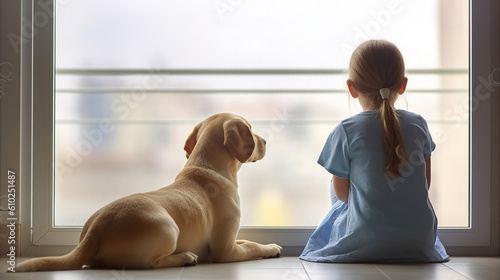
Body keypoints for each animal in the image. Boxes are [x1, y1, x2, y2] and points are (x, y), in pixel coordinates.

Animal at [14, 113, 282, 272]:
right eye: (250, 129)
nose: (266, 141)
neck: (206, 166)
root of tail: (96, 229)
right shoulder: (225, 250)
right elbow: (253, 247)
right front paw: (270, 248)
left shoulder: (233, 241)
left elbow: (248, 240)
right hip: (168, 228)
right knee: (151, 264)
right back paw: (185, 257)